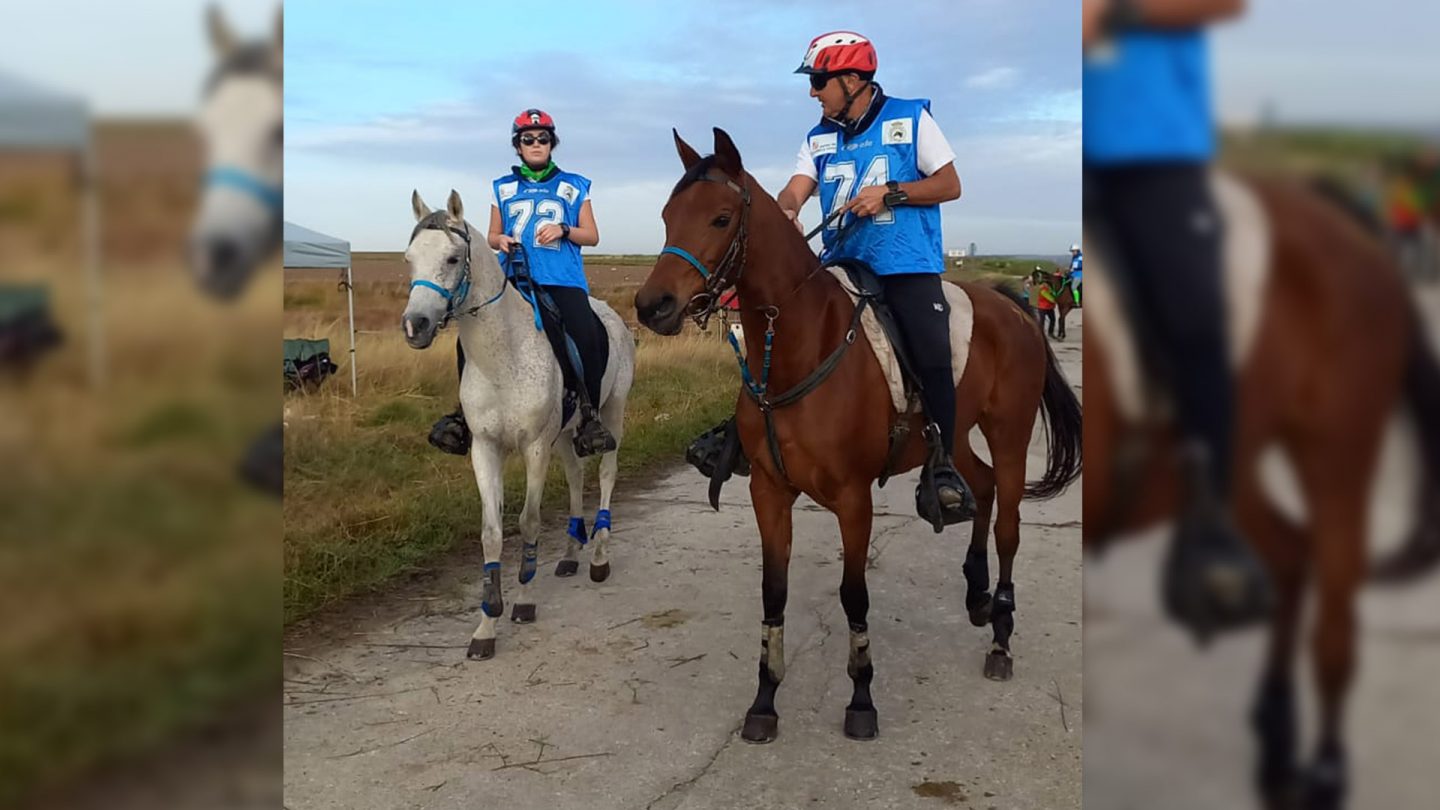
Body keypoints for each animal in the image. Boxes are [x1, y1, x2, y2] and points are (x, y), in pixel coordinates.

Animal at [403, 187, 633, 657]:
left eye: (452, 258)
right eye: (409, 259)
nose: (415, 325)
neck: (501, 355)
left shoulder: (534, 447)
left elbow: (529, 521)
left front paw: (524, 600)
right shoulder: (485, 448)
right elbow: (491, 532)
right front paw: (486, 624)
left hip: (612, 413)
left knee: (605, 475)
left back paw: (598, 557)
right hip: (565, 434)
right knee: (577, 476)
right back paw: (570, 554)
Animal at [633, 128, 1082, 743]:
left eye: (721, 218)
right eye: (666, 215)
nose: (651, 306)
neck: (800, 349)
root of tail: (1010, 307)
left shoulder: (852, 498)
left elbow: (853, 595)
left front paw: (862, 697)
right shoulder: (768, 491)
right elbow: (774, 591)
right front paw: (764, 700)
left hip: (1009, 435)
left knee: (1009, 525)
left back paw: (1000, 636)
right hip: (955, 435)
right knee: (981, 485)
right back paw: (975, 593)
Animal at [1082, 173, 1440, 801]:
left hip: (1337, 450)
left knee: (1335, 620)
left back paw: (1326, 771)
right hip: (1240, 455)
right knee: (1289, 553)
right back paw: (1274, 734)